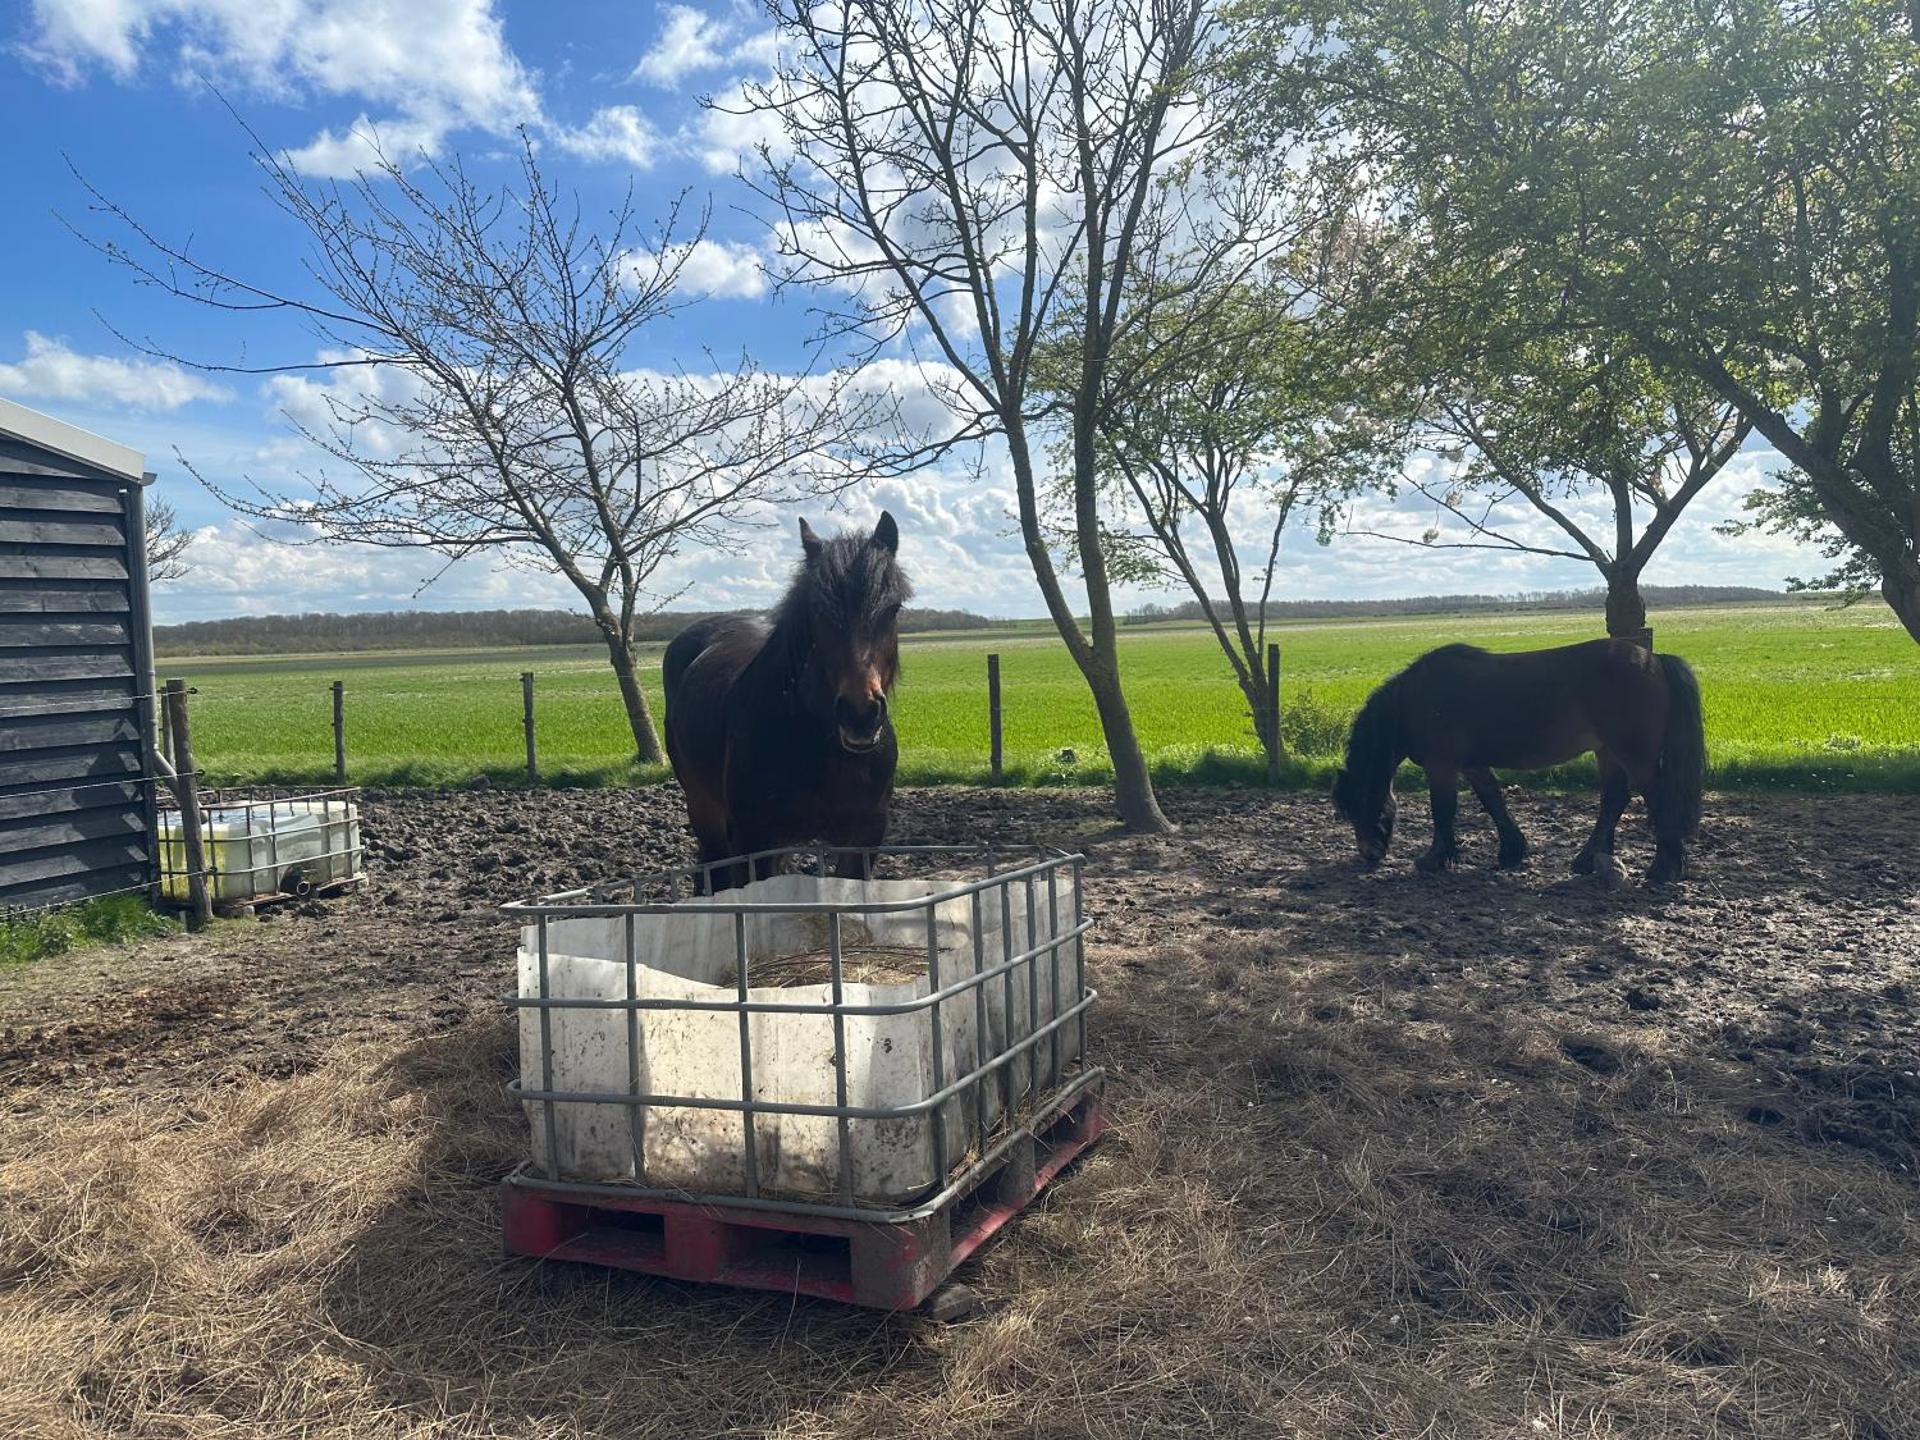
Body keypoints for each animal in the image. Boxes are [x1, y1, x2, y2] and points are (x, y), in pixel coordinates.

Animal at [663, 511, 911, 891]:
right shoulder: (753, 840)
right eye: (818, 611)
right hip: (704, 809)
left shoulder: (864, 838)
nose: (860, 713)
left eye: (893, 608)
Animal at [1331, 639, 1705, 886]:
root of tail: (1654, 660)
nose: (1368, 853)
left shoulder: (1442, 766)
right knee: (1614, 798)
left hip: (1633, 754)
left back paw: (1663, 868)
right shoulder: (1472, 765)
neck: (1413, 701)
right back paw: (1587, 860)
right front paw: (1512, 850)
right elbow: (1493, 801)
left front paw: (1434, 858)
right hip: (1608, 751)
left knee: (1657, 799)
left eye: (1360, 804)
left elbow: (1443, 810)